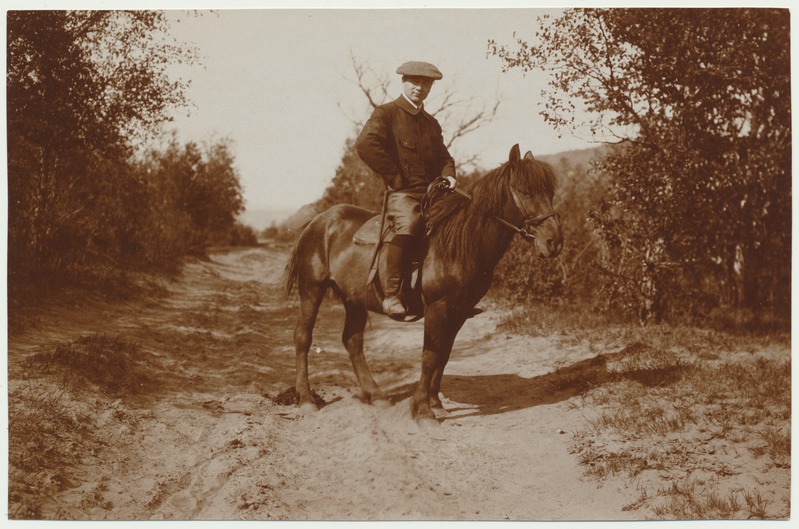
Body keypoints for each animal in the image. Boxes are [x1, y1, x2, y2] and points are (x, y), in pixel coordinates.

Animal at [284, 143, 564, 420]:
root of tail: (317, 221)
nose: (554, 242)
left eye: (550, 192)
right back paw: (306, 398)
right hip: (311, 288)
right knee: (302, 337)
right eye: (525, 193)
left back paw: (376, 395)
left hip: (353, 299)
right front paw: (423, 410)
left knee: (352, 341)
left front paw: (434, 401)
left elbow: (443, 354)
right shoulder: (437, 308)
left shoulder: (459, 312)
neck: (457, 245)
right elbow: (429, 356)